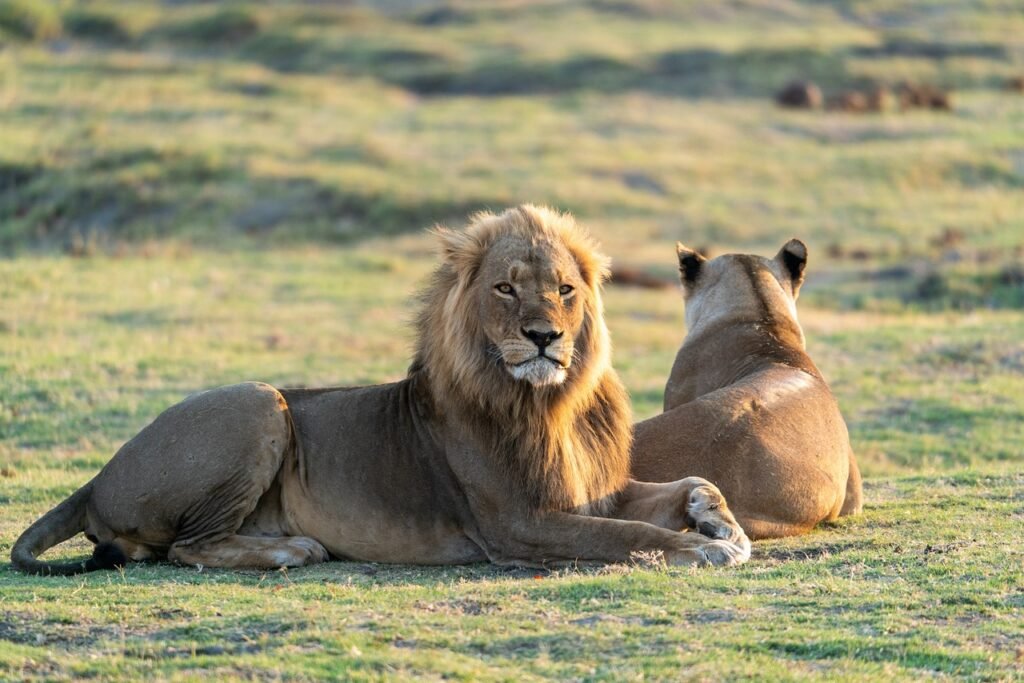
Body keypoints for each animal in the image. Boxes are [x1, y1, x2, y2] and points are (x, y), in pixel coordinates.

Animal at [12, 205, 750, 575]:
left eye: (565, 289)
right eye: (505, 288)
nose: (544, 336)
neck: (551, 403)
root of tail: (99, 474)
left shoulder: (595, 489)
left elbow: (692, 482)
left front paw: (722, 524)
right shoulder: (520, 524)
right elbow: (624, 535)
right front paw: (701, 547)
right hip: (258, 401)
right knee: (186, 547)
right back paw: (292, 548)